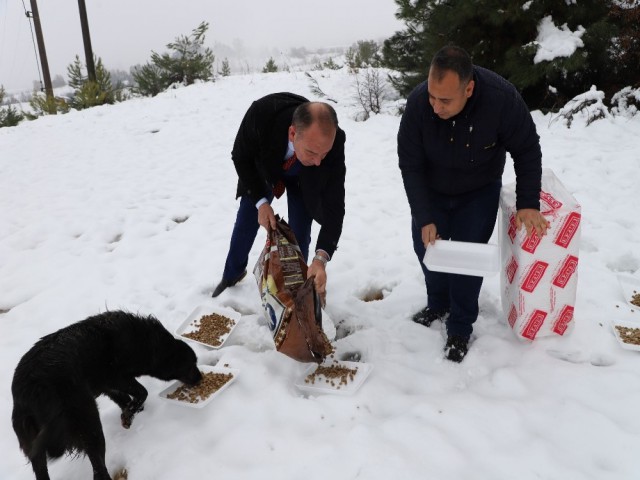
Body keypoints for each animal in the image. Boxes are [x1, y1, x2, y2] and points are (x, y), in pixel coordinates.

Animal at [11, 310, 202, 478]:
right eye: (191, 364)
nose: (201, 378)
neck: (145, 340)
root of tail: (31, 392)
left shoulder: (109, 386)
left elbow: (126, 399)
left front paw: (131, 413)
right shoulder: (117, 378)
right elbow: (142, 392)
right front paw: (129, 414)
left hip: (35, 446)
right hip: (90, 425)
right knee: (99, 470)